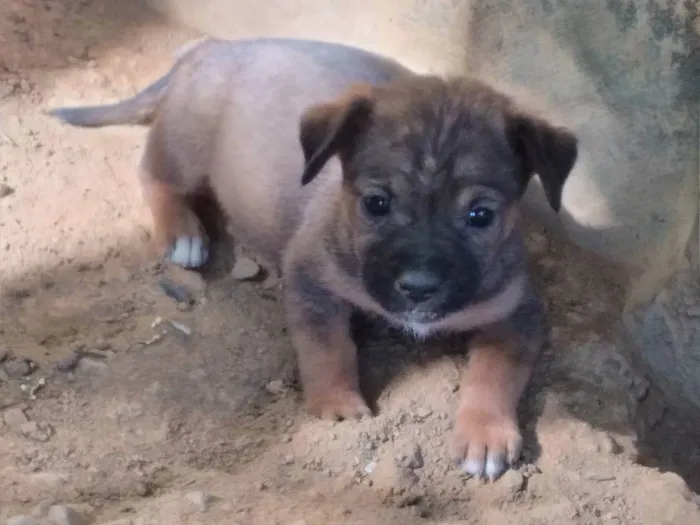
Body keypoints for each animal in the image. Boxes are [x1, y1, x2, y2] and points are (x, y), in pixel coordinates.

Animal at [47, 35, 576, 478]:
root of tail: (214, 47)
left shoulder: (515, 313)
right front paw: (337, 405)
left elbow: (495, 374)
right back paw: (182, 232)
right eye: (376, 204)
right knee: (152, 174)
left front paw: (485, 435)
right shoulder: (311, 281)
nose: (418, 288)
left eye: (481, 215)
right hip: (185, 145)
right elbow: (329, 347)